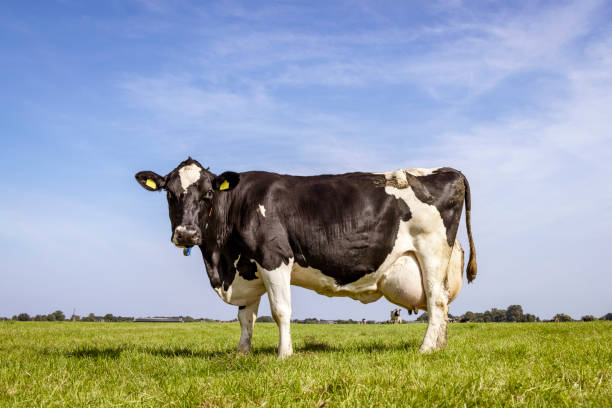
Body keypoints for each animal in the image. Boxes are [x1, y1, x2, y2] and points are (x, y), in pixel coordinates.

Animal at [136, 158, 476, 356]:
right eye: (169, 193)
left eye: (208, 193)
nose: (186, 234)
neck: (221, 260)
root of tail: (450, 170)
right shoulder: (247, 266)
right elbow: (246, 318)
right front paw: (241, 353)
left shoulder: (274, 258)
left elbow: (281, 311)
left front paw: (284, 355)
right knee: (442, 303)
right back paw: (440, 346)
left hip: (431, 251)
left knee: (436, 302)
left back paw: (426, 349)